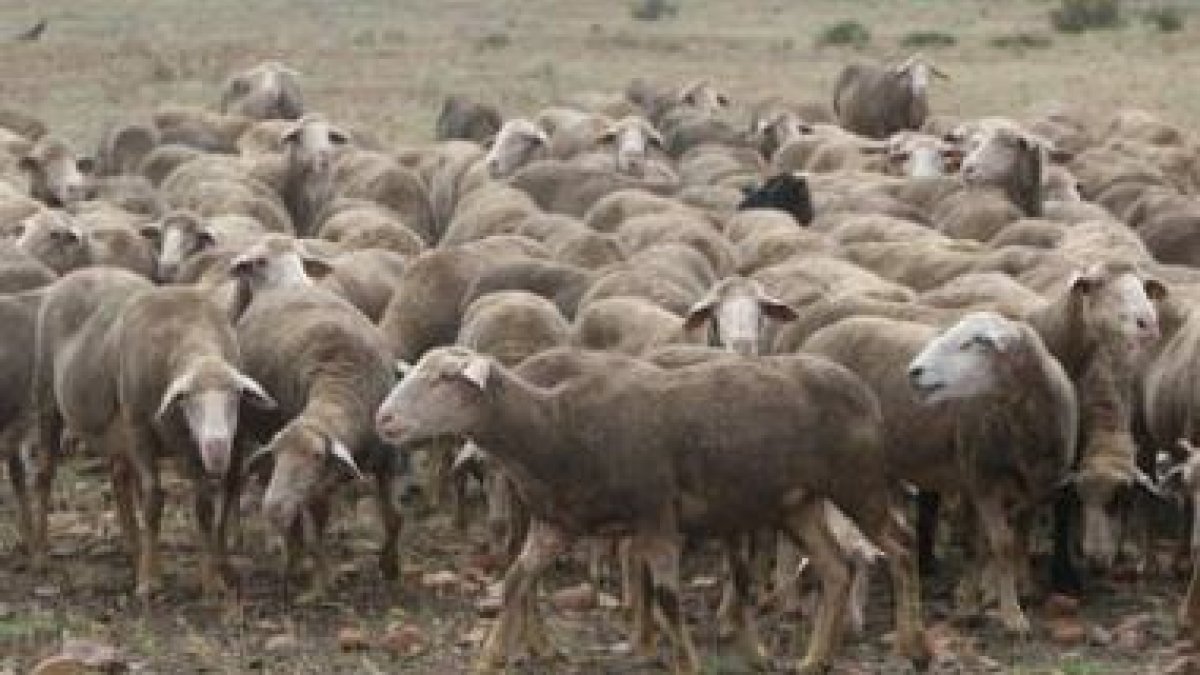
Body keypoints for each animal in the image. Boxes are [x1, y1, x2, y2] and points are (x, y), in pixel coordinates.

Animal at [30, 270, 275, 597]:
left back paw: (133, 548)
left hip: (117, 430)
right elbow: (152, 500)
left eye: (236, 397)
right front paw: (150, 579)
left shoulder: (193, 444)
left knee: (119, 478)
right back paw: (40, 554)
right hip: (48, 400)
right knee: (44, 474)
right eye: (187, 399)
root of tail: (78, 273)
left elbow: (204, 506)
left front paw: (212, 581)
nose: (217, 447)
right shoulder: (140, 428)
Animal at [238, 287, 399, 597]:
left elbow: (395, 516)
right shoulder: (312, 488)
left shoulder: (386, 462)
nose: (273, 508)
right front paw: (321, 583)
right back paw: (291, 558)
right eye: (276, 455)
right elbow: (314, 533)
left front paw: (391, 566)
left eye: (316, 456)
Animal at [375, 346, 924, 674]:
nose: (383, 420)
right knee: (836, 567)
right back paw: (815, 660)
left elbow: (666, 598)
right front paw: (489, 660)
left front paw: (686, 663)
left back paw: (912, 646)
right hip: (798, 501)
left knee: (900, 547)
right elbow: (514, 581)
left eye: (445, 378)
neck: (557, 430)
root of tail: (862, 387)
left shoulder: (657, 517)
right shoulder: (557, 524)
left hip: (858, 482)